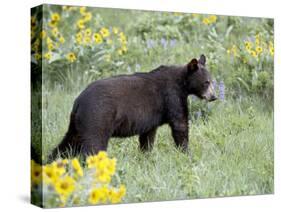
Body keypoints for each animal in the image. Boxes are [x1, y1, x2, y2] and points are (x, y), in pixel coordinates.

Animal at [49, 55, 215, 160]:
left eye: (212, 81)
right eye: (206, 82)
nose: (214, 96)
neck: (182, 84)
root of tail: (78, 102)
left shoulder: (151, 118)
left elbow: (148, 136)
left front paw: (146, 156)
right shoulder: (172, 97)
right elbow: (180, 124)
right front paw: (187, 153)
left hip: (78, 123)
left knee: (68, 142)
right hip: (97, 117)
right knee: (93, 144)